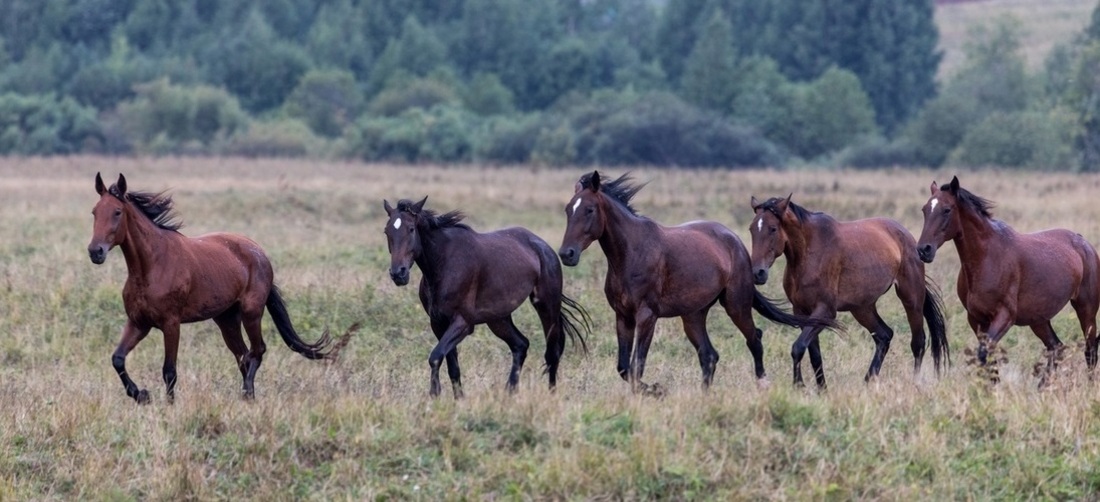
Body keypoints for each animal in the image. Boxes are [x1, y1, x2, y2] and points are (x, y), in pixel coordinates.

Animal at [86, 172, 352, 402]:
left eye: (117, 212)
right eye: (94, 212)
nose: (95, 252)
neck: (151, 267)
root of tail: (259, 253)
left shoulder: (171, 324)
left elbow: (169, 370)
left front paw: (167, 406)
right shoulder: (139, 322)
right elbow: (118, 359)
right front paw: (141, 395)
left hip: (251, 313)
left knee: (257, 351)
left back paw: (247, 394)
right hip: (227, 320)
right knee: (244, 356)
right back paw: (248, 395)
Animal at [382, 195, 589, 396]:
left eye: (411, 229)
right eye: (387, 231)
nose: (398, 273)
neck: (444, 263)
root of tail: (545, 248)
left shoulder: (463, 323)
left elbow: (435, 357)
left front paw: (435, 395)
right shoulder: (438, 323)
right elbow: (452, 366)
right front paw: (458, 399)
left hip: (546, 306)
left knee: (552, 353)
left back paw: (551, 394)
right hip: (498, 319)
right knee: (521, 345)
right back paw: (509, 393)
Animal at [554, 170, 827, 394]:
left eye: (589, 210)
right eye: (567, 210)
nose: (567, 254)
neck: (632, 253)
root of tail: (736, 242)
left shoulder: (647, 315)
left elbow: (636, 366)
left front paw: (655, 389)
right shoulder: (623, 316)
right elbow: (624, 367)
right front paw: (653, 389)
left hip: (736, 305)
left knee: (754, 339)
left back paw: (763, 383)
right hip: (693, 316)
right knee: (709, 355)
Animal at [752, 192, 950, 387]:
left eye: (772, 228)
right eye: (752, 228)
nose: (758, 273)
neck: (809, 254)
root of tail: (910, 239)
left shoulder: (825, 311)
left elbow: (798, 347)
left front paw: (799, 385)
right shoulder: (801, 312)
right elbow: (814, 354)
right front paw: (821, 389)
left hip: (911, 298)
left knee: (918, 342)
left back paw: (914, 382)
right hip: (862, 308)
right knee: (884, 336)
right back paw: (868, 379)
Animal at [910, 175, 1100, 383]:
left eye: (947, 209)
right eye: (924, 210)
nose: (924, 250)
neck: (986, 258)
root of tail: (1084, 243)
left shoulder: (1004, 316)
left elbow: (984, 354)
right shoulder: (976, 319)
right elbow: (988, 359)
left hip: (1086, 309)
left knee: (1090, 350)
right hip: (1039, 320)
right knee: (1056, 347)